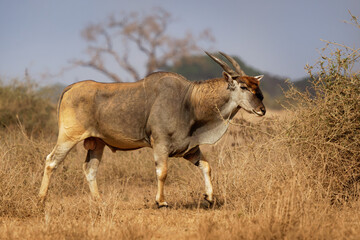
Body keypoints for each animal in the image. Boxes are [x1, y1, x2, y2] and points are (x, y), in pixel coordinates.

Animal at [38, 51, 264, 207]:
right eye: (243, 87)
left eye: (257, 86)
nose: (262, 109)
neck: (189, 100)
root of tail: (69, 88)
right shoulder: (160, 144)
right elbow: (162, 172)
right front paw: (161, 201)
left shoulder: (190, 149)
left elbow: (207, 166)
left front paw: (209, 197)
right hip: (68, 137)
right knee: (51, 161)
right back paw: (41, 199)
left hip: (97, 143)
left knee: (90, 170)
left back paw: (100, 202)